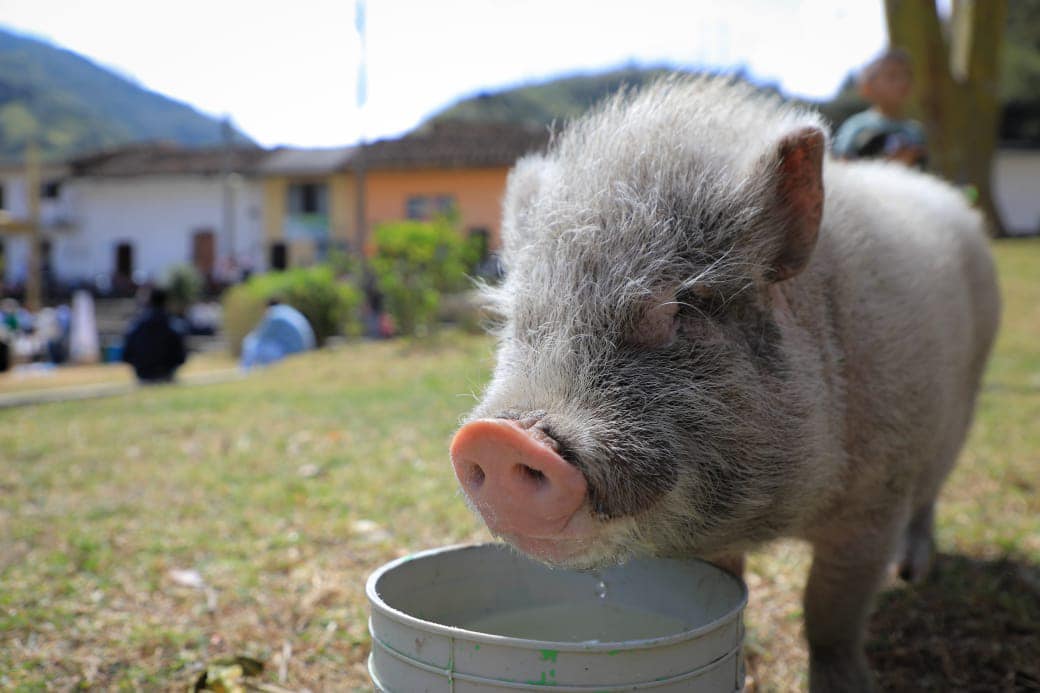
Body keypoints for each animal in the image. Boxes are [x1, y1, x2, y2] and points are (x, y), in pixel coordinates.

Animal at [447, 75, 998, 690]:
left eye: (680, 305)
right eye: (517, 318)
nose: (498, 438)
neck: (779, 516)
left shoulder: (877, 500)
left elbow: (829, 610)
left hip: (962, 407)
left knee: (932, 494)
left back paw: (913, 572)